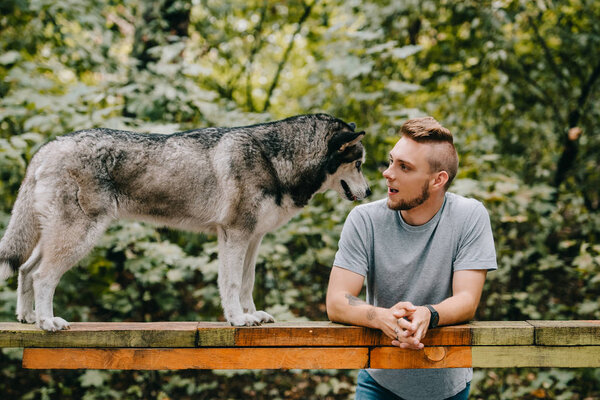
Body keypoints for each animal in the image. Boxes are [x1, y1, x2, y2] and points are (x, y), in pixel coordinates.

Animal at [0, 113, 370, 332]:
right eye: (360, 164)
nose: (369, 191)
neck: (275, 159)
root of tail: (46, 148)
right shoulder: (235, 235)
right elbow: (231, 283)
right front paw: (237, 319)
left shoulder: (253, 239)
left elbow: (247, 283)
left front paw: (252, 315)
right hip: (78, 239)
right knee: (42, 275)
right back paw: (47, 322)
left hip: (57, 239)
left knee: (26, 270)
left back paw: (28, 318)